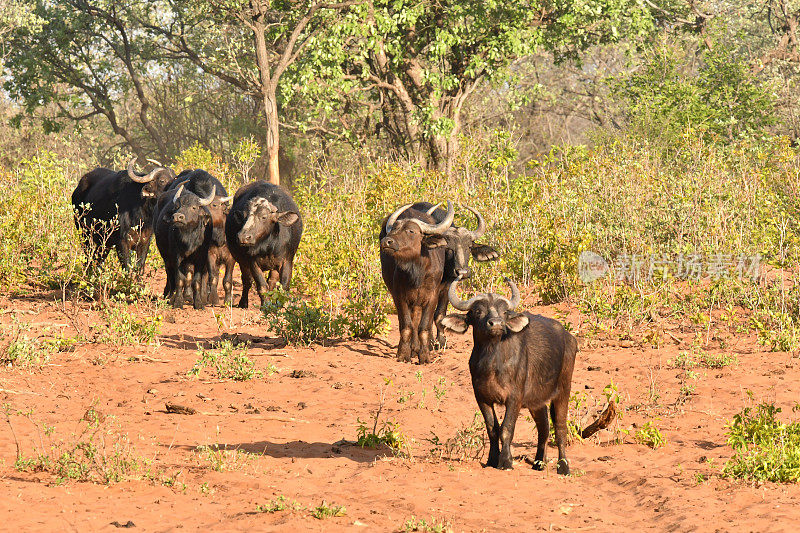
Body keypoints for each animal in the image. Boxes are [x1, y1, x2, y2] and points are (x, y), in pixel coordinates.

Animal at [378, 202, 454, 364]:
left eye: (411, 231)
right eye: (394, 229)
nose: (386, 241)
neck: (416, 273)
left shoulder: (432, 296)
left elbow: (423, 327)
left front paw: (424, 356)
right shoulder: (399, 296)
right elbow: (407, 326)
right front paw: (403, 354)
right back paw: (413, 349)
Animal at [440, 276, 580, 472]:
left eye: (504, 311)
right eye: (478, 311)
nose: (497, 323)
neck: (492, 361)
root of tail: (570, 338)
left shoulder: (515, 397)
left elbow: (507, 428)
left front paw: (506, 461)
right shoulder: (481, 397)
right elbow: (492, 428)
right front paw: (492, 459)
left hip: (563, 389)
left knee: (560, 427)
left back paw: (564, 467)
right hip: (536, 401)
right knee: (543, 428)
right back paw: (538, 463)